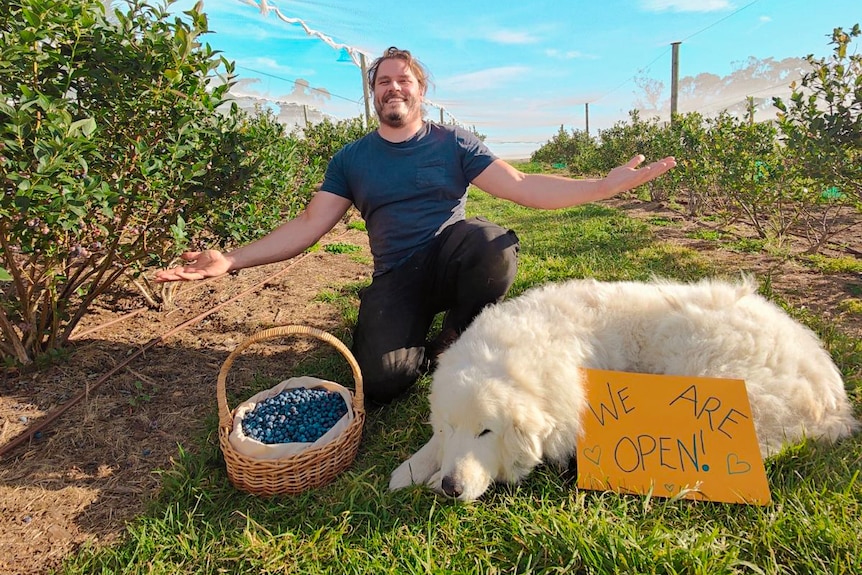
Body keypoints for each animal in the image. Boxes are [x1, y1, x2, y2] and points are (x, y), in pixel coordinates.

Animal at [394, 278, 862, 500]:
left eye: (486, 431)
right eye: (450, 427)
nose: (451, 487)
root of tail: (835, 401)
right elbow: (430, 449)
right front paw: (410, 471)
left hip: (698, 361)